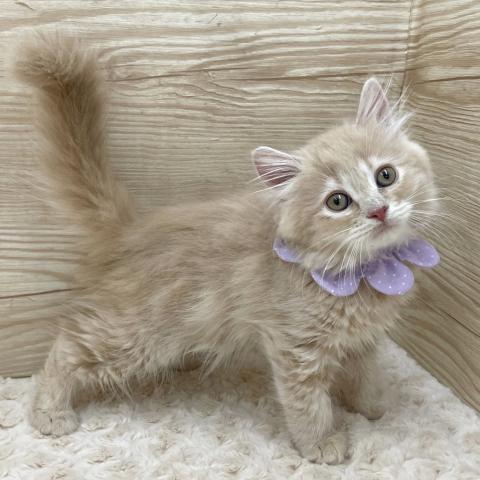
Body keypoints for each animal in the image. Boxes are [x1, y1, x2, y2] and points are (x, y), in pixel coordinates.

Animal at [14, 32, 438, 465]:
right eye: (337, 201)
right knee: (67, 348)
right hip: (132, 335)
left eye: (385, 176)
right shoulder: (295, 348)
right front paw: (321, 442)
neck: (364, 272)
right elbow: (307, 404)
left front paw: (373, 407)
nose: (378, 210)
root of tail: (135, 227)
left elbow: (363, 376)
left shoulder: (363, 341)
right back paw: (49, 411)